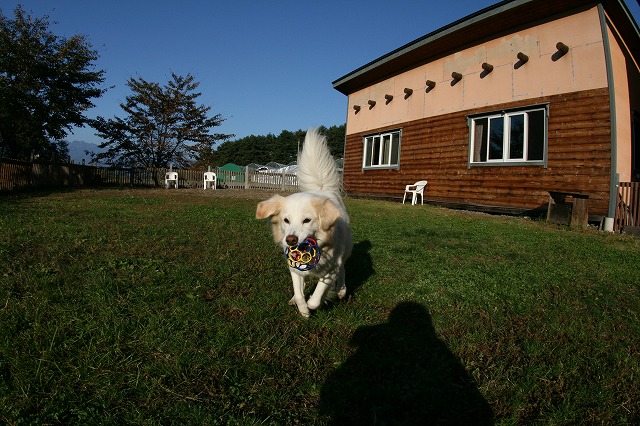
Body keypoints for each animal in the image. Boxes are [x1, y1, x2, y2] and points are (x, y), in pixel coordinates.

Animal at [256, 128, 356, 318]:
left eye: (307, 220)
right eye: (286, 220)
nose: (291, 240)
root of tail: (322, 189)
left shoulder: (331, 269)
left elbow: (317, 296)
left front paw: (314, 304)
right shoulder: (294, 269)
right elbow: (299, 291)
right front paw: (303, 309)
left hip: (345, 252)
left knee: (343, 269)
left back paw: (341, 289)